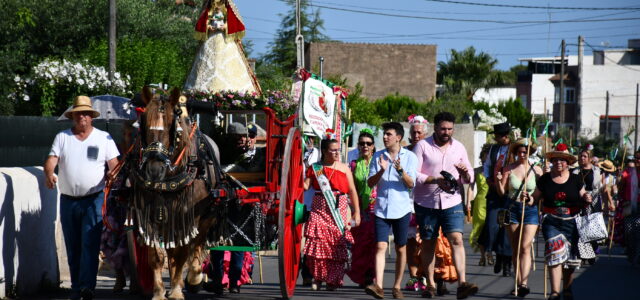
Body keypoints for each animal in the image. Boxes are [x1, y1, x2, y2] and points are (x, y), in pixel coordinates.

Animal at [128, 86, 222, 300]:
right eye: (144, 123)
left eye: (172, 126)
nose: (154, 170)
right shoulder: (148, 214)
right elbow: (156, 255)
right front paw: (158, 292)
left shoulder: (188, 215)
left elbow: (182, 253)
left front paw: (180, 290)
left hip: (208, 215)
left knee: (197, 244)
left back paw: (194, 277)